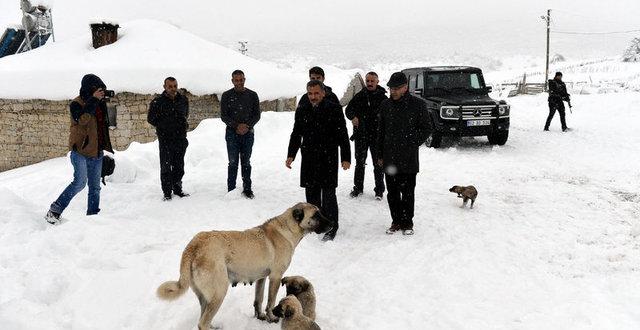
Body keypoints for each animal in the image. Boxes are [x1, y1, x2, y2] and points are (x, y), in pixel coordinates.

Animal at [157, 202, 332, 330]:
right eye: (316, 215)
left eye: (320, 212)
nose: (332, 223)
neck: (288, 229)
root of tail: (193, 245)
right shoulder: (275, 277)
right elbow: (270, 302)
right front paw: (271, 318)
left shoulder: (262, 278)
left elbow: (258, 300)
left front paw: (260, 317)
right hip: (219, 292)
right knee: (202, 323)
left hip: (206, 297)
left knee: (203, 318)